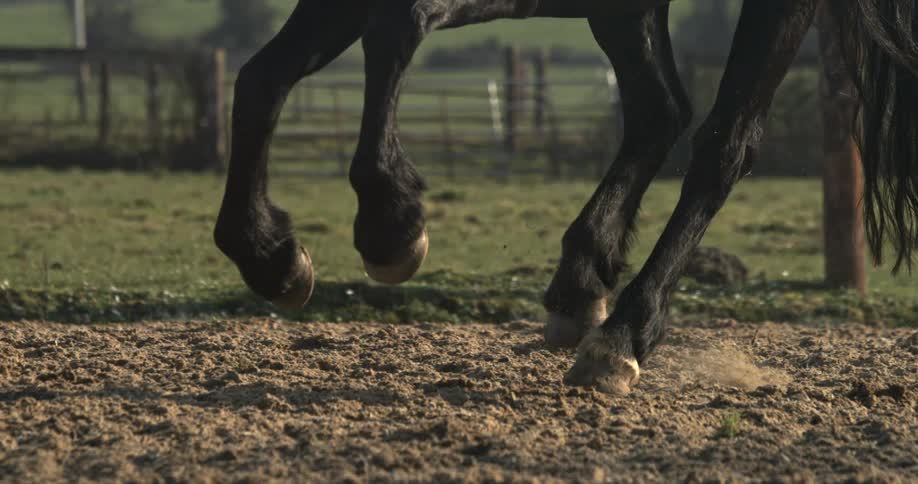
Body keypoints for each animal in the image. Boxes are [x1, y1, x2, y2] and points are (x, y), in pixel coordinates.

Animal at [213, 0, 918, 394]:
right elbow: (259, 76)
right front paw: (268, 254)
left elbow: (395, 24)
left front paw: (391, 220)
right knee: (659, 110)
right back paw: (582, 284)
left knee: (725, 141)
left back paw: (621, 338)